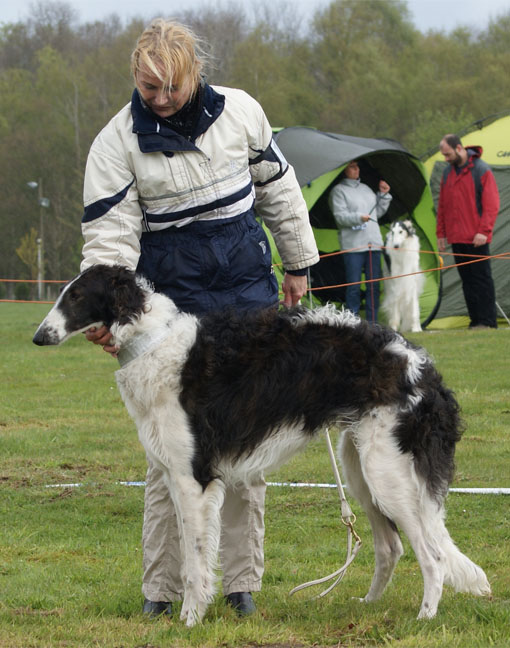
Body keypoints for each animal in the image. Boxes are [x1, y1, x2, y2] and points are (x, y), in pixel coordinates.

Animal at [33, 264, 490, 625]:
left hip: (387, 473)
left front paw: (190, 620)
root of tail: (422, 366)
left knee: (433, 555)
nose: (39, 337)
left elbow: (195, 563)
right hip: (360, 467)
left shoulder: (193, 478)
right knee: (390, 547)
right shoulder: (176, 477)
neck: (154, 343)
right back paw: (368, 604)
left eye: (76, 296)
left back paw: (425, 617)